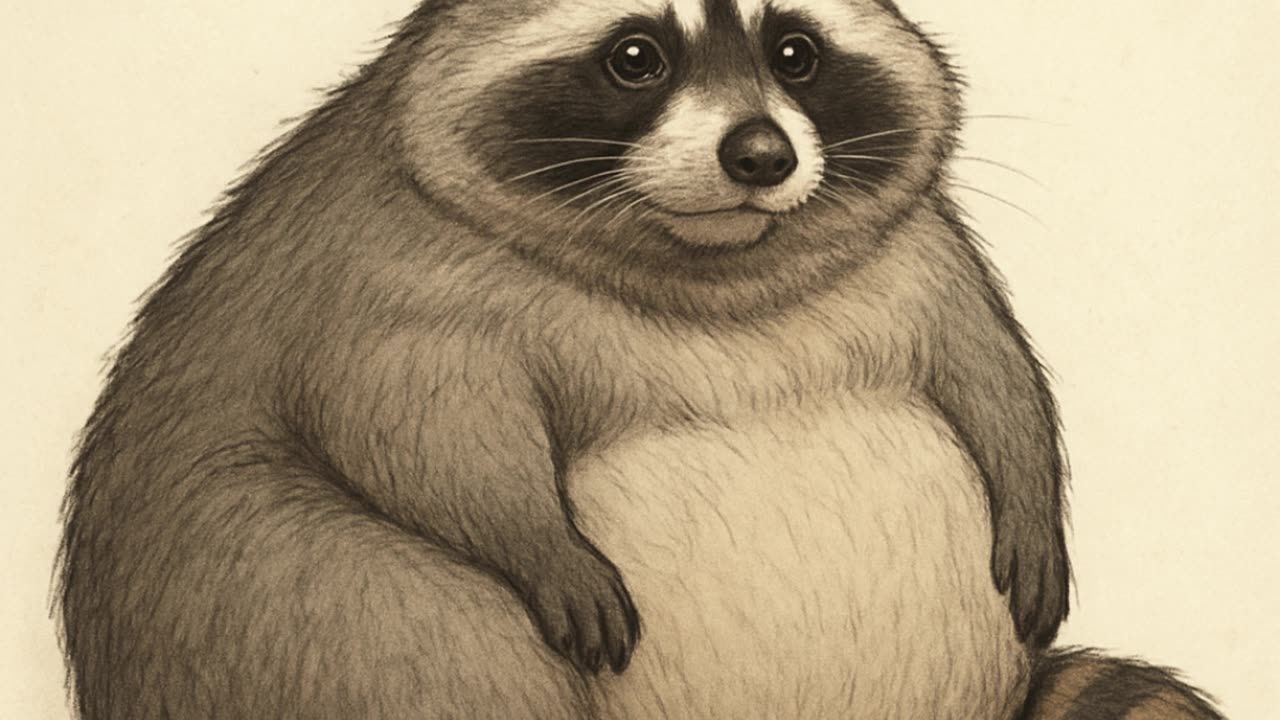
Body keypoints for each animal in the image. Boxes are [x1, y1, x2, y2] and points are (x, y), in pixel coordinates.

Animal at [58, 0, 1225, 718]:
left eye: (793, 51)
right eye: (635, 56)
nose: (760, 154)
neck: (713, 272)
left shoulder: (917, 253)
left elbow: (992, 368)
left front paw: (1033, 502)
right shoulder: (383, 278)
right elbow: (413, 420)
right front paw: (535, 536)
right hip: (285, 611)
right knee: (426, 620)